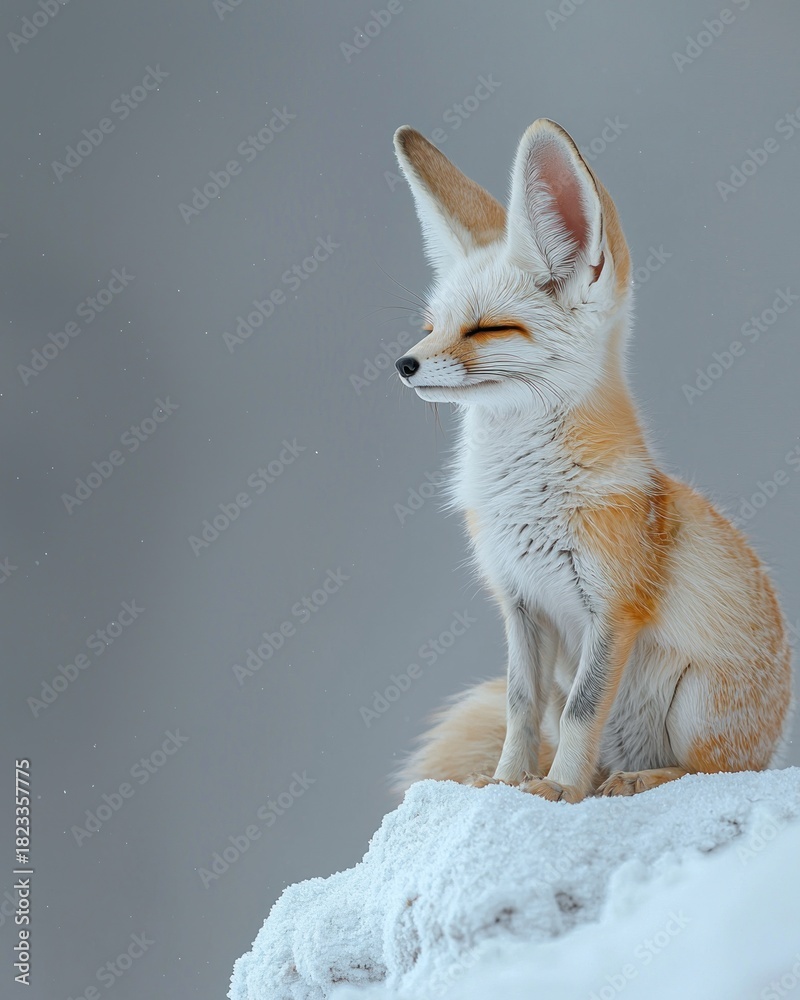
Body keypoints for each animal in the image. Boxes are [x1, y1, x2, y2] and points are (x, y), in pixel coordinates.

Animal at [390, 118, 793, 802]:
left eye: (488, 330)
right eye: (430, 325)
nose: (404, 364)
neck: (525, 496)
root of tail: (773, 746)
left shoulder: (613, 607)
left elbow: (583, 710)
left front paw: (557, 790)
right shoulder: (520, 604)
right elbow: (519, 709)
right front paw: (508, 783)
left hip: (700, 706)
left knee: (713, 772)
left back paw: (635, 778)